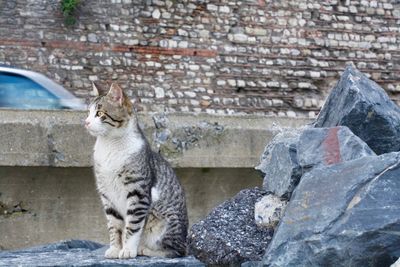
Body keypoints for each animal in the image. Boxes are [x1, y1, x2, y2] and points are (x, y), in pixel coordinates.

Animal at [84, 84, 188, 260]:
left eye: (99, 113)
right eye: (88, 112)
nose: (86, 122)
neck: (109, 146)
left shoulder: (138, 194)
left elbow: (132, 227)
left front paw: (127, 250)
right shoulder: (107, 196)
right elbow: (115, 227)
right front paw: (115, 249)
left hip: (165, 224)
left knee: (176, 251)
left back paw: (145, 250)